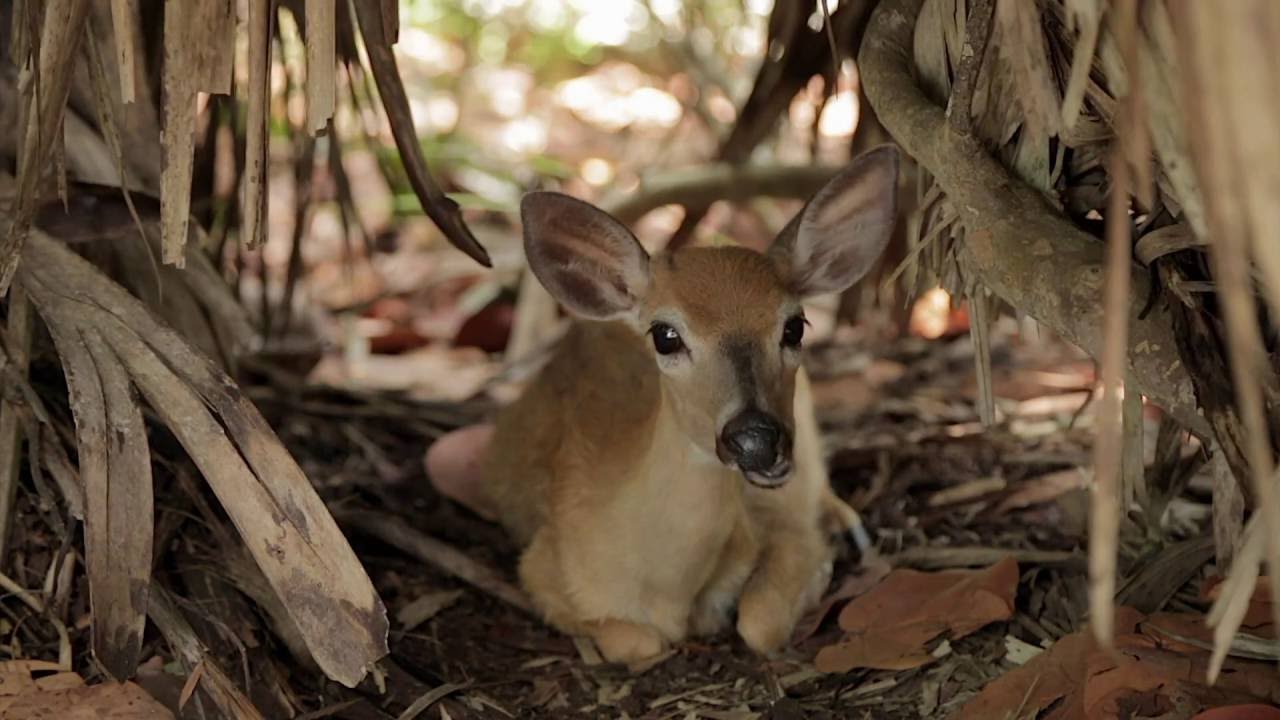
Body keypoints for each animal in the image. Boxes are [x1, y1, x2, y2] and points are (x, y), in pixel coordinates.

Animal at [428, 145, 899, 670]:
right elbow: (634, 640)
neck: (669, 588)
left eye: (795, 326)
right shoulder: (540, 566)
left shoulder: (784, 526)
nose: (756, 439)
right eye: (665, 335)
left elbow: (759, 622)